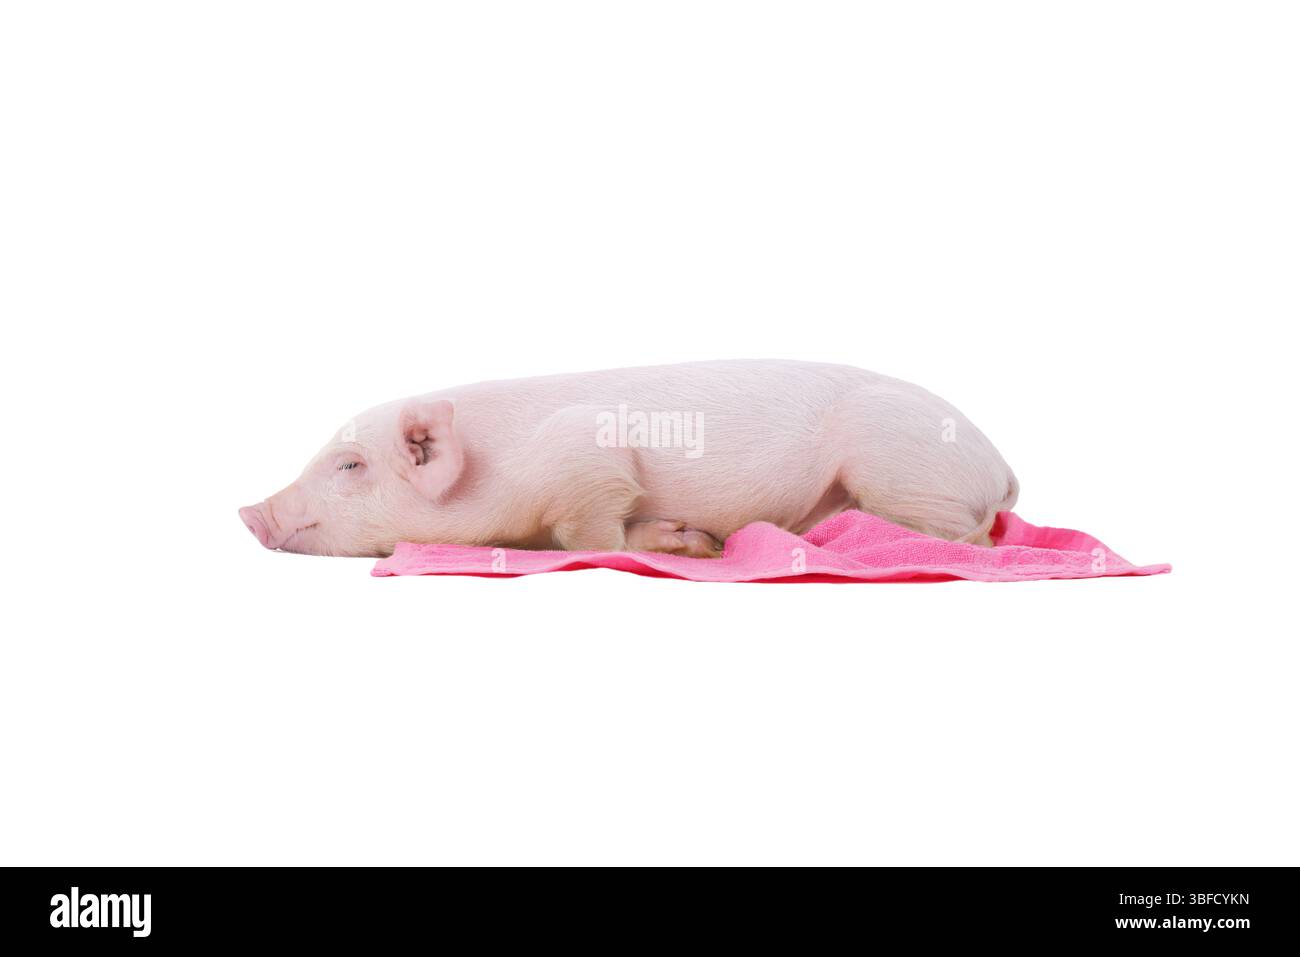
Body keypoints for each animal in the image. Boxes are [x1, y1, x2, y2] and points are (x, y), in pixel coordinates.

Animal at [238, 360, 1018, 557]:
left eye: (349, 467)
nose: (249, 511)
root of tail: (1001, 465)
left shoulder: (588, 458)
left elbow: (589, 533)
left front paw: (686, 543)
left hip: (899, 464)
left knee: (968, 538)